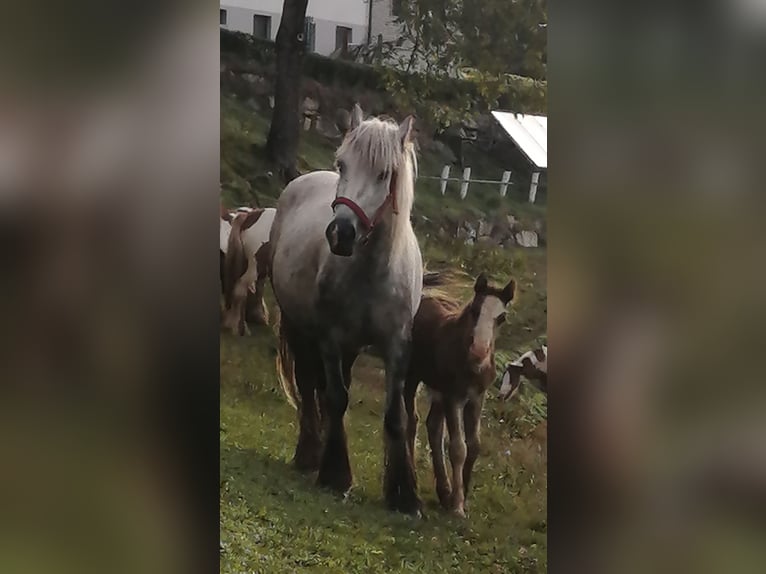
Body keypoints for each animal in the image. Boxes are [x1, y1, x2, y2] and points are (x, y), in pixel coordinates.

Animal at [270, 106, 426, 516]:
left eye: (385, 174)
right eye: (343, 164)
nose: (341, 233)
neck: (372, 271)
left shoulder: (397, 345)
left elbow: (394, 414)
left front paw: (404, 495)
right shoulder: (329, 338)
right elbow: (336, 397)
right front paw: (335, 473)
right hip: (298, 327)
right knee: (311, 386)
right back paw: (309, 453)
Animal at [404, 274, 520, 516]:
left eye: (502, 317)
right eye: (475, 310)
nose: (479, 352)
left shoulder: (476, 398)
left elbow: (474, 445)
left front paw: (462, 495)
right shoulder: (453, 397)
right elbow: (458, 448)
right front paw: (457, 505)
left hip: (438, 390)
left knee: (433, 427)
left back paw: (444, 491)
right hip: (413, 378)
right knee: (412, 423)